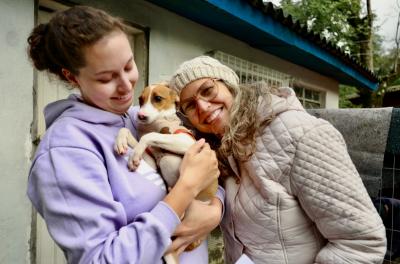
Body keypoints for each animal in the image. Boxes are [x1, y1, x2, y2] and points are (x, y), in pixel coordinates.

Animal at [114, 83, 217, 264]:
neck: (161, 122)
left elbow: (150, 135)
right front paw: (122, 142)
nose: (140, 116)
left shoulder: (185, 142)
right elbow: (128, 133)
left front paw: (135, 153)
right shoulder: (152, 161)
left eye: (158, 98)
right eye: (140, 99)